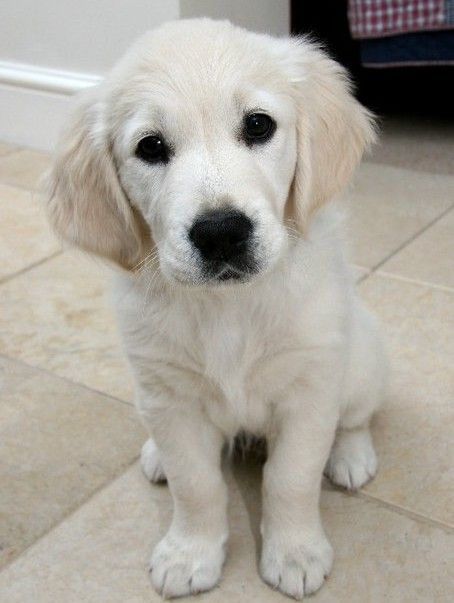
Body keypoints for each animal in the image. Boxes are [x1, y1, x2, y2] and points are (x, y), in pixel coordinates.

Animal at [46, 17, 386, 600]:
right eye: (151, 147)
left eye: (258, 125)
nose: (221, 233)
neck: (228, 307)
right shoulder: (170, 398)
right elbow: (196, 484)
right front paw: (190, 553)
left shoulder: (309, 390)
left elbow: (291, 477)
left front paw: (295, 552)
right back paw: (154, 455)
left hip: (361, 361)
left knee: (356, 417)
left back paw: (350, 456)